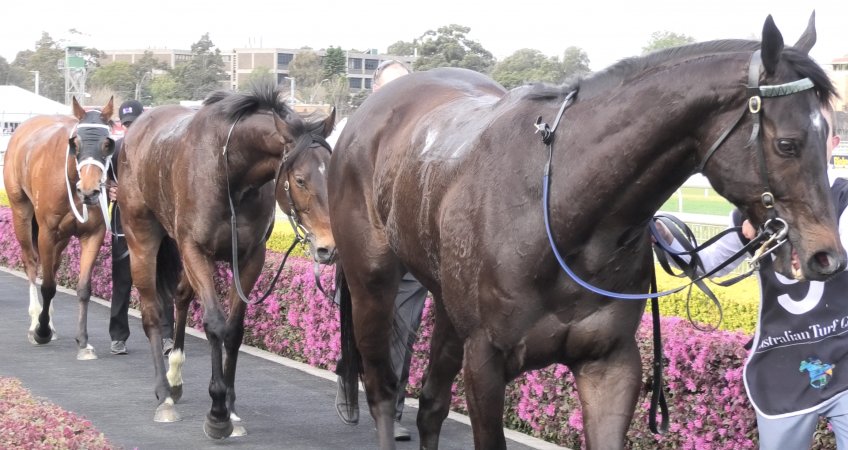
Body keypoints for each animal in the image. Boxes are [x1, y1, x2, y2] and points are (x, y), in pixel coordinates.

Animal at [2, 96, 114, 360]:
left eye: (107, 144)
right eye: (76, 143)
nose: (89, 190)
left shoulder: (93, 234)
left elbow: (83, 288)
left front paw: (83, 342)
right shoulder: (46, 232)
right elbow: (48, 286)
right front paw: (41, 330)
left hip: (62, 238)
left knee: (51, 265)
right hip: (21, 213)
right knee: (32, 264)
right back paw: (36, 321)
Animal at [117, 81, 336, 440]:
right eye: (301, 180)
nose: (328, 248)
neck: (230, 171)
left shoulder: (249, 256)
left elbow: (233, 329)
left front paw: (230, 408)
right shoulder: (195, 249)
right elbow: (215, 323)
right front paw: (217, 412)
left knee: (181, 295)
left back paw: (175, 376)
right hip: (141, 238)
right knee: (152, 312)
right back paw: (164, 395)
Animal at [330, 14, 840, 450]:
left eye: (829, 136)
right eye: (787, 144)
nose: (826, 256)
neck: (559, 213)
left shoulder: (609, 362)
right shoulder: (486, 359)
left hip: (446, 302)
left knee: (431, 405)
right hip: (372, 283)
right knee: (381, 388)